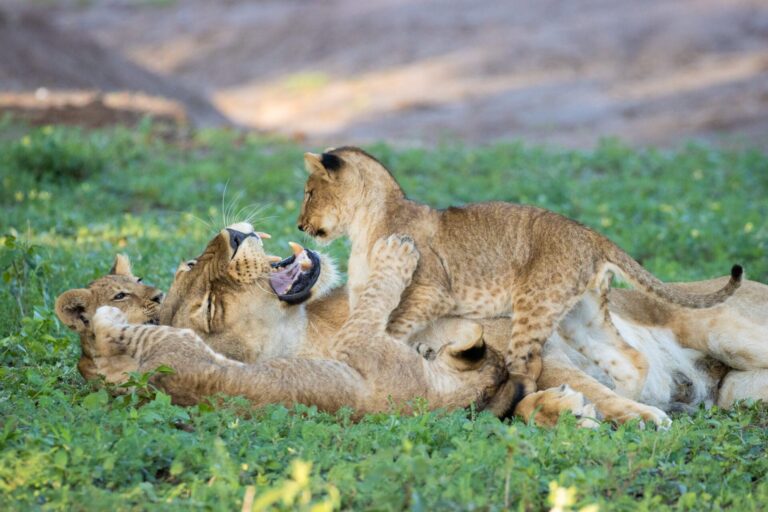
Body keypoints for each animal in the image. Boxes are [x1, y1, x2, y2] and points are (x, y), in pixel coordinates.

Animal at [296, 147, 742, 397]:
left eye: (308, 192)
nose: (300, 225)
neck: (365, 224)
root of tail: (589, 232)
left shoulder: (432, 291)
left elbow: (393, 328)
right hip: (580, 317)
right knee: (629, 358)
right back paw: (636, 408)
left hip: (535, 303)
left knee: (527, 368)